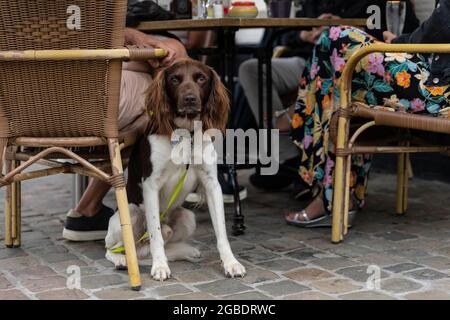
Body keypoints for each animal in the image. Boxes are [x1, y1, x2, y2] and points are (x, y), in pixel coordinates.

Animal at [105, 58, 246, 282]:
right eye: (174, 79)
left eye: (201, 78)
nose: (189, 99)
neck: (186, 134)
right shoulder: (150, 185)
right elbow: (155, 234)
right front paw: (160, 266)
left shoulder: (212, 184)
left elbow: (222, 231)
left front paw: (231, 263)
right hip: (131, 212)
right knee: (116, 248)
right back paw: (122, 260)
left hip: (188, 218)